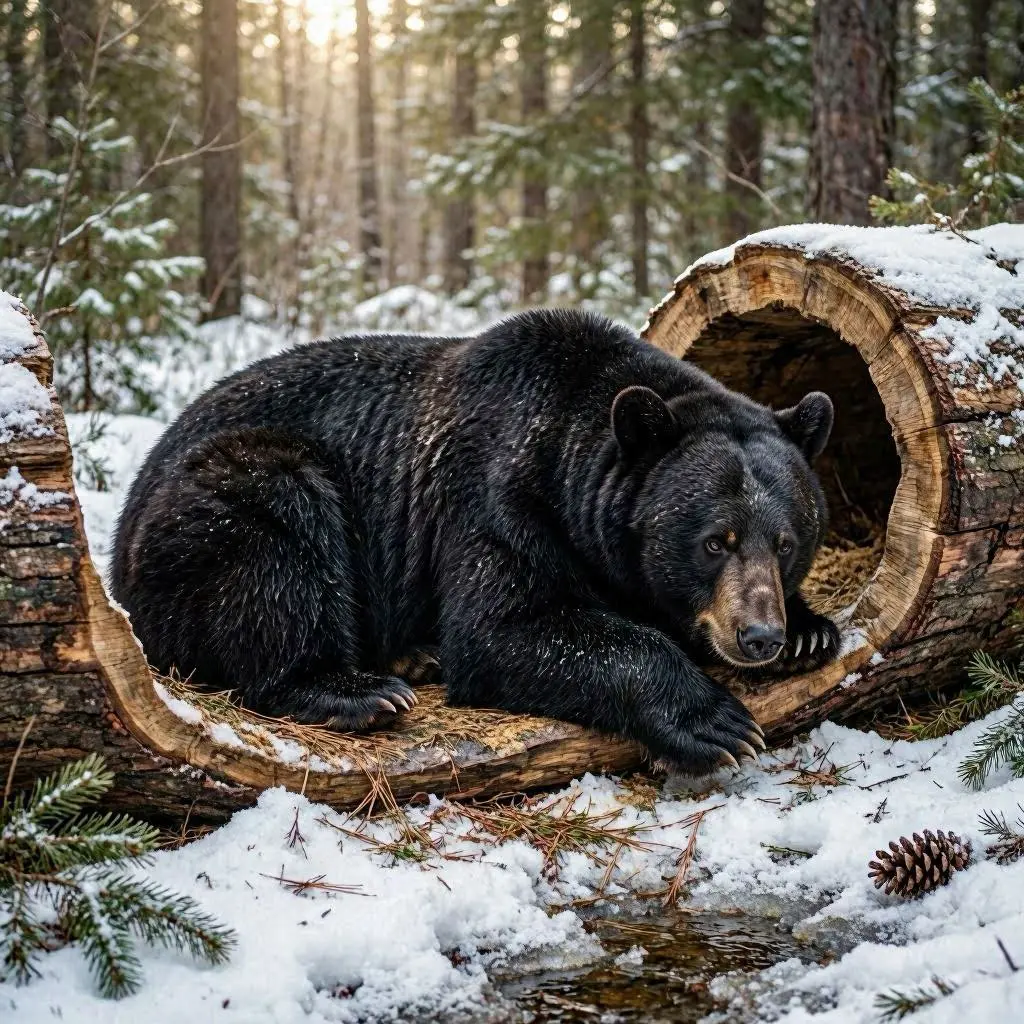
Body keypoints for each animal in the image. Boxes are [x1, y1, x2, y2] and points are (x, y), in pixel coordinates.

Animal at [110, 309, 841, 775]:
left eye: (784, 542)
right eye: (716, 540)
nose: (760, 635)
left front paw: (812, 631)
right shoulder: (494, 501)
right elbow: (502, 628)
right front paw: (716, 723)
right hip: (221, 502)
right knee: (281, 547)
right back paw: (358, 688)